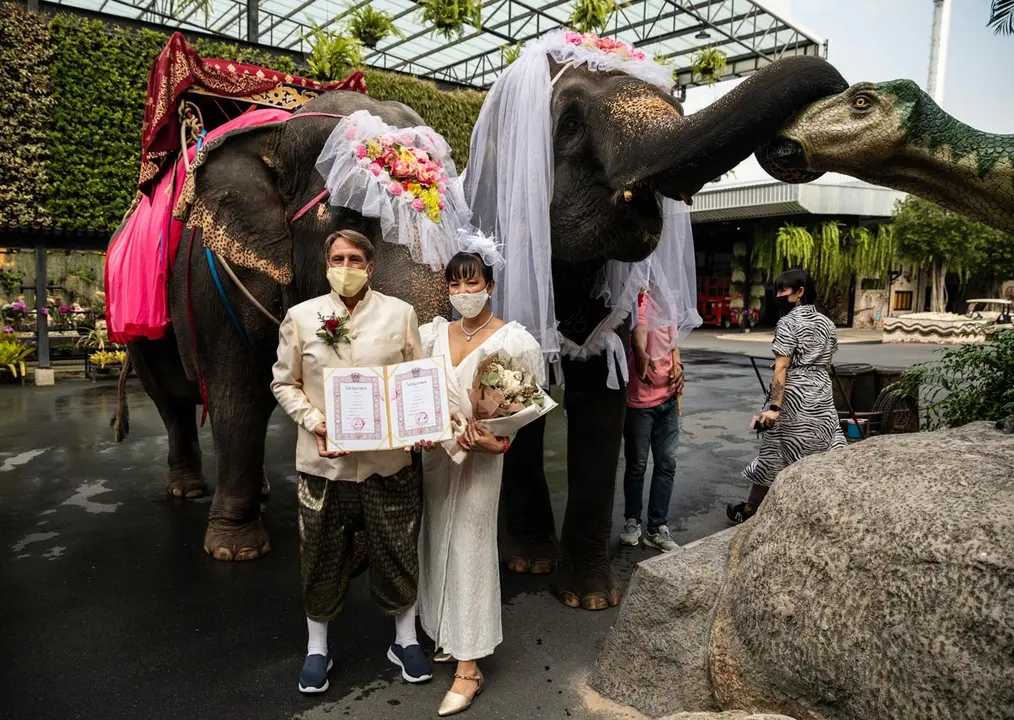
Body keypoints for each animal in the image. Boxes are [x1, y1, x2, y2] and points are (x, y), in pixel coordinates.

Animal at [114, 55, 849, 610]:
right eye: (571, 123)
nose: (794, 145)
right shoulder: (219, 271)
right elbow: (238, 389)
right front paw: (235, 551)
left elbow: (596, 394)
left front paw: (582, 598)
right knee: (176, 398)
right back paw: (193, 493)